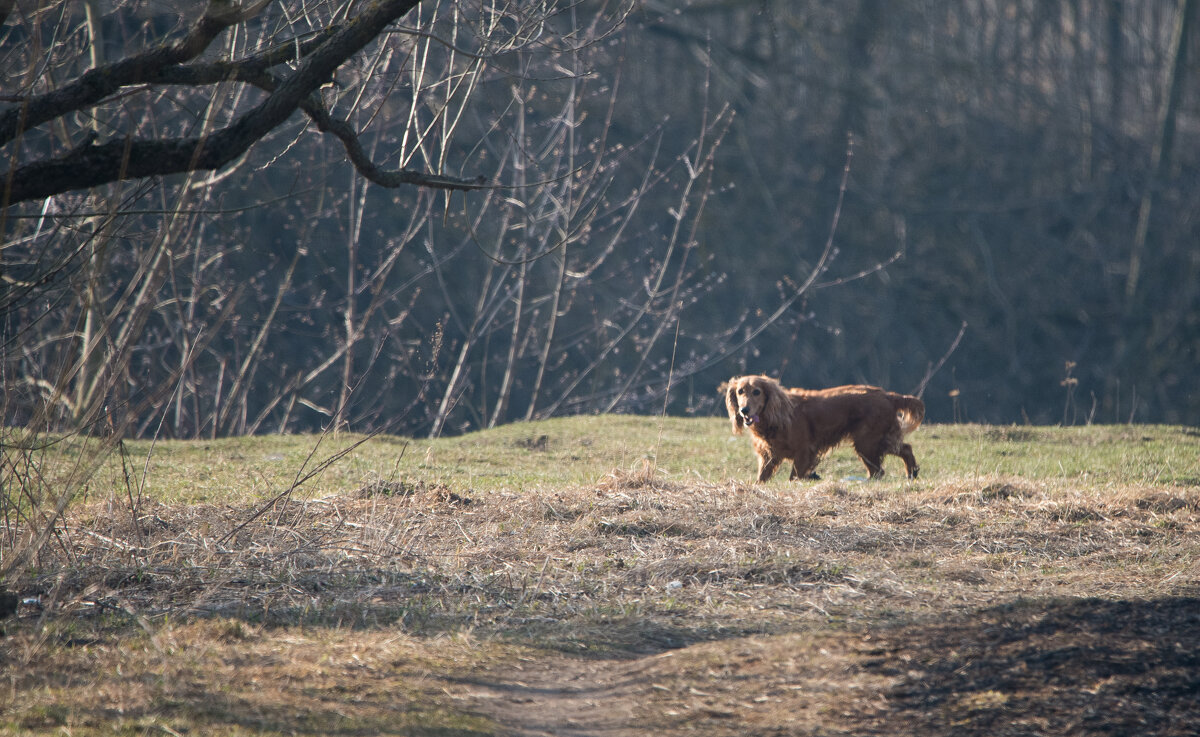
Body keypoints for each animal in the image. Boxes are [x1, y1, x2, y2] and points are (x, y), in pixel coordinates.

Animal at [715, 374, 921, 484]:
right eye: (740, 392)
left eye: (757, 392)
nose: (744, 410)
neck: (777, 417)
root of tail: (887, 395)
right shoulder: (769, 456)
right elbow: (762, 477)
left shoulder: (804, 452)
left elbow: (794, 476)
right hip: (870, 443)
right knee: (898, 454)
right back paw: (910, 474)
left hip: (867, 442)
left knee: (889, 462)